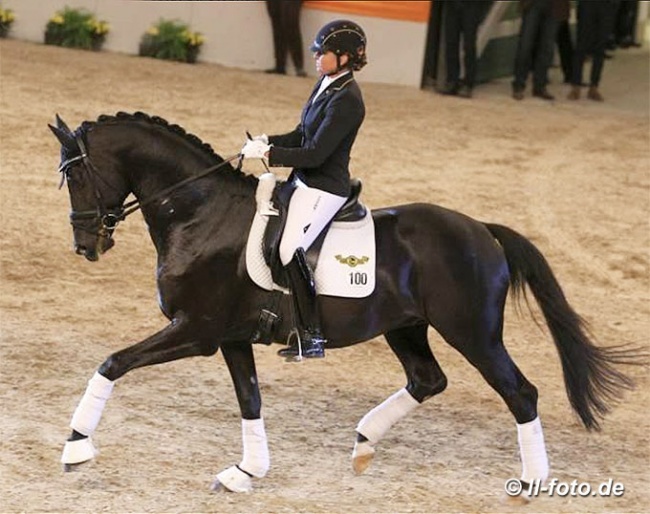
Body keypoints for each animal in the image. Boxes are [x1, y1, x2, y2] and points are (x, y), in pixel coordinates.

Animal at [52, 111, 636, 492]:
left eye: (75, 173)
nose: (86, 245)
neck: (200, 213)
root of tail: (482, 231)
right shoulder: (231, 337)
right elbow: (250, 401)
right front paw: (246, 472)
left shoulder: (196, 331)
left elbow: (111, 363)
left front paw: (76, 446)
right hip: (406, 327)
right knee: (427, 380)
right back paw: (363, 441)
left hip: (473, 333)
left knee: (520, 392)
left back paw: (533, 481)